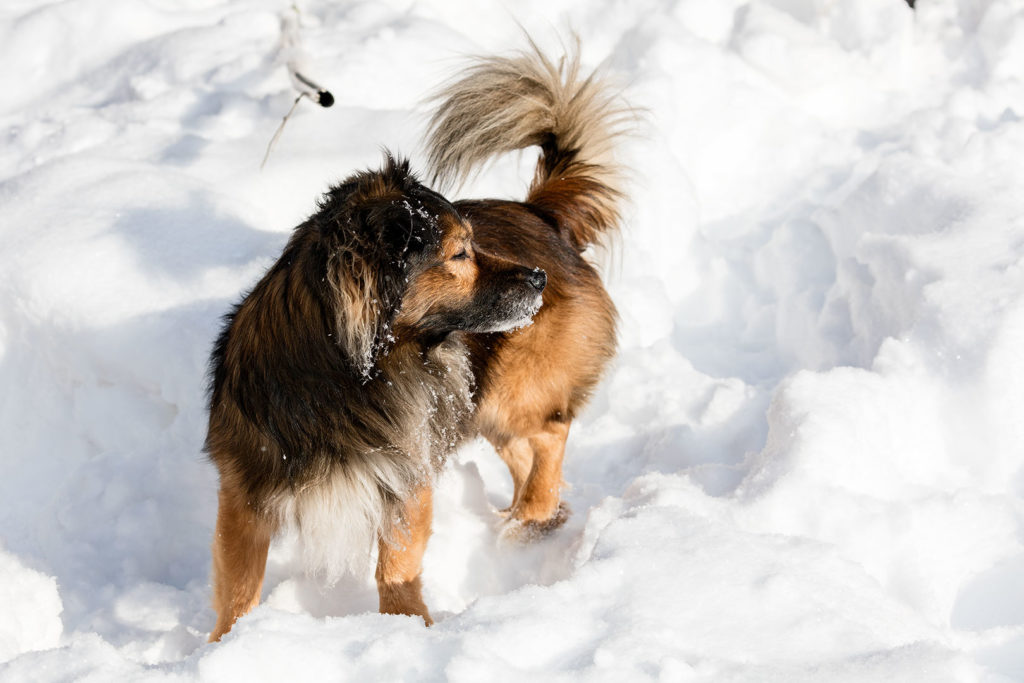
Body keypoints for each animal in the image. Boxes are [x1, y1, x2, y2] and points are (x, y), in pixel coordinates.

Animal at [204, 42, 626, 643]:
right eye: (460, 254)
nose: (538, 279)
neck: (349, 376)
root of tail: (542, 216)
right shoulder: (247, 490)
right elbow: (239, 585)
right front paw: (227, 645)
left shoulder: (406, 475)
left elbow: (396, 566)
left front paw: (405, 627)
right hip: (481, 402)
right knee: (526, 448)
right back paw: (533, 521)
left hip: (510, 391)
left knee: (551, 430)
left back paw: (531, 518)